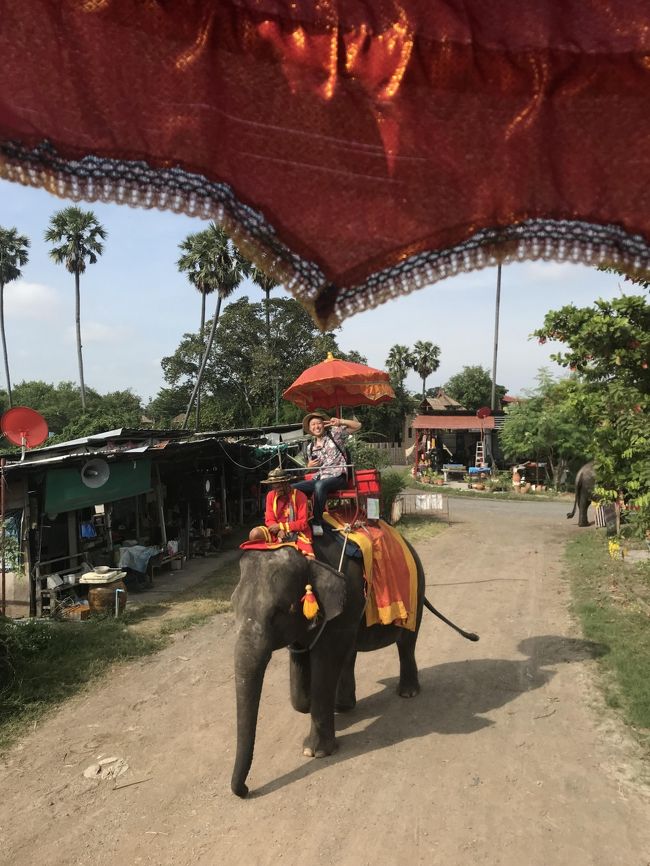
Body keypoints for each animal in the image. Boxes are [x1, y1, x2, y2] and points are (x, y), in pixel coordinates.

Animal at [228, 528, 470, 800]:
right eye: (233, 605)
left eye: (279, 611)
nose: (245, 790)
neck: (307, 553)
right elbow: (303, 667)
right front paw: (310, 706)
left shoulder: (344, 606)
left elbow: (325, 661)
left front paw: (315, 752)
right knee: (350, 653)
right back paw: (343, 707)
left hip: (416, 592)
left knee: (406, 643)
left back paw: (407, 693)